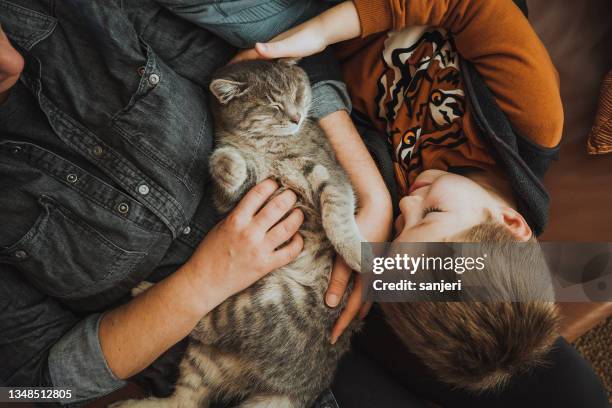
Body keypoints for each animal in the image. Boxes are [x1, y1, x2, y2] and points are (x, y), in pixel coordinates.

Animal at [111, 59, 364, 408]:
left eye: (297, 94)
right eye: (274, 105)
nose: (297, 117)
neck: (262, 144)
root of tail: (301, 387)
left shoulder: (328, 173)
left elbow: (337, 216)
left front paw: (355, 254)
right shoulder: (241, 195)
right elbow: (233, 176)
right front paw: (225, 160)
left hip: (263, 306)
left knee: (203, 330)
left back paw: (142, 291)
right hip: (221, 343)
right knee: (185, 381)